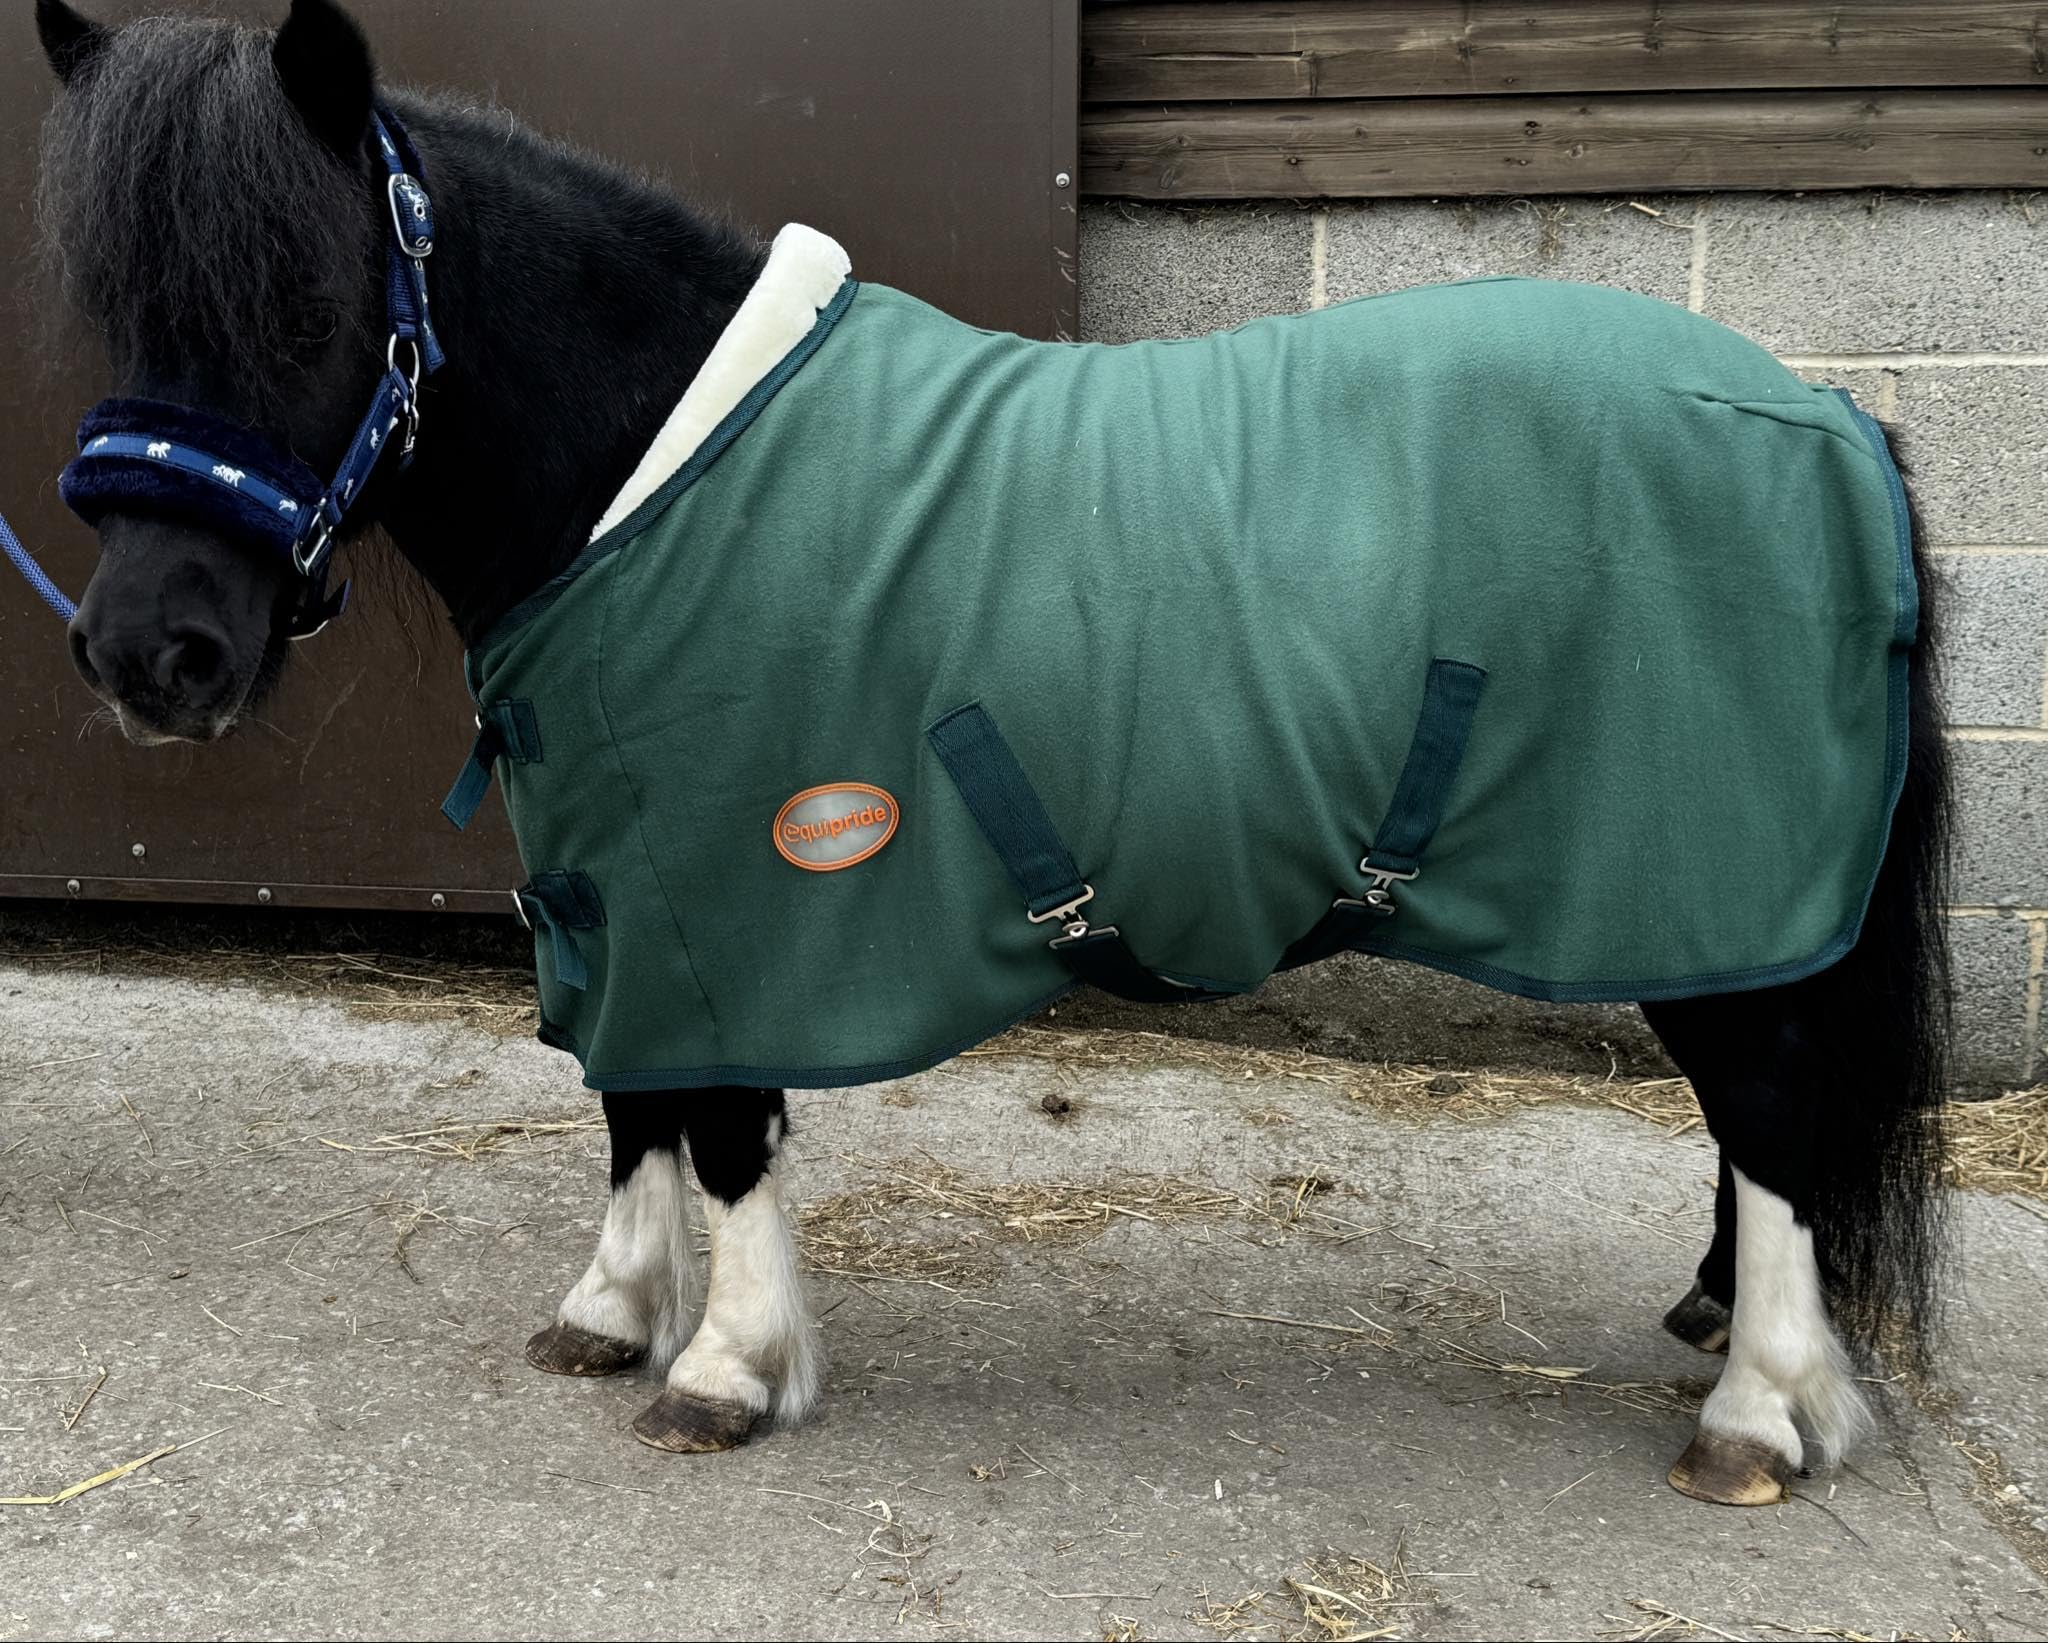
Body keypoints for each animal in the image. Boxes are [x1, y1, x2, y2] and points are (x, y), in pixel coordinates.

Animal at [27, 0, 1951, 1506]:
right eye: (120, 308)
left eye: (305, 304)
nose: (149, 654)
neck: (655, 473)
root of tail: (1828, 413)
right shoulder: (610, 877)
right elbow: (630, 1103)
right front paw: (608, 1310)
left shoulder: (728, 891)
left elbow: (719, 1127)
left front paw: (722, 1368)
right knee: (1753, 1111)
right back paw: (1716, 1323)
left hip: (1703, 872)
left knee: (1771, 1101)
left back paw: (1757, 1408)